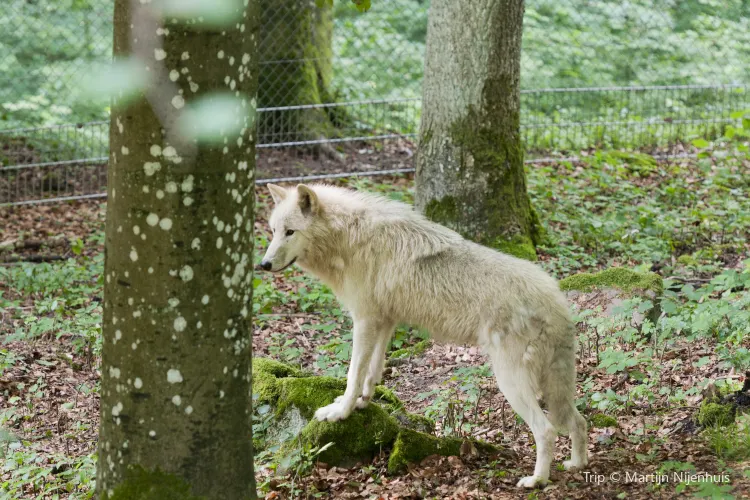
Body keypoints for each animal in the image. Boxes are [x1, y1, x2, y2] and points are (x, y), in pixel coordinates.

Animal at [262, 184, 592, 488]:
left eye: (290, 232)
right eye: (273, 231)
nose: (263, 265)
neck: (350, 239)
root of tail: (557, 301)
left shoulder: (364, 320)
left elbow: (353, 374)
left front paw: (341, 412)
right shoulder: (384, 321)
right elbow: (372, 372)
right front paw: (363, 403)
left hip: (511, 383)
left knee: (546, 430)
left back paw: (536, 481)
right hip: (553, 386)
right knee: (579, 421)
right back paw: (577, 464)